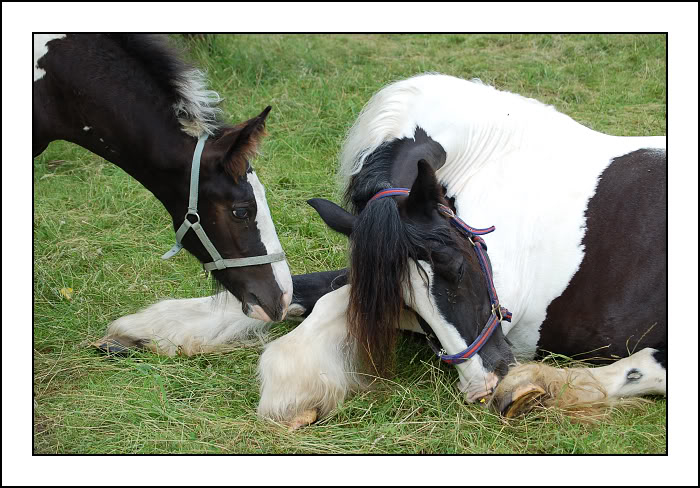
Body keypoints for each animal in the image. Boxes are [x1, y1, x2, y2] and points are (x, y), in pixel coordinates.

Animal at [98, 72, 668, 424]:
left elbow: (331, 297)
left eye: (459, 267)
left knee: (649, 366)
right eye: (409, 302)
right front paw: (151, 329)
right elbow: (305, 289)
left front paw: (292, 385)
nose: (483, 385)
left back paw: (540, 388)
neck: (490, 160)